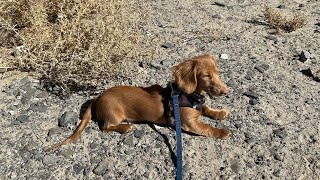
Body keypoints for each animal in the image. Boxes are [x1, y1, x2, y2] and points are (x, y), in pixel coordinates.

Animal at [46, 54, 231, 152]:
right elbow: (207, 127)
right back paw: (125, 128)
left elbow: (206, 108)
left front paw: (220, 112)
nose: (226, 91)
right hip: (115, 115)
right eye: (206, 76)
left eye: (217, 73)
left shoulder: (198, 108)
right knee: (105, 127)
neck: (187, 96)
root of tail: (97, 98)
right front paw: (222, 132)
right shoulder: (189, 123)